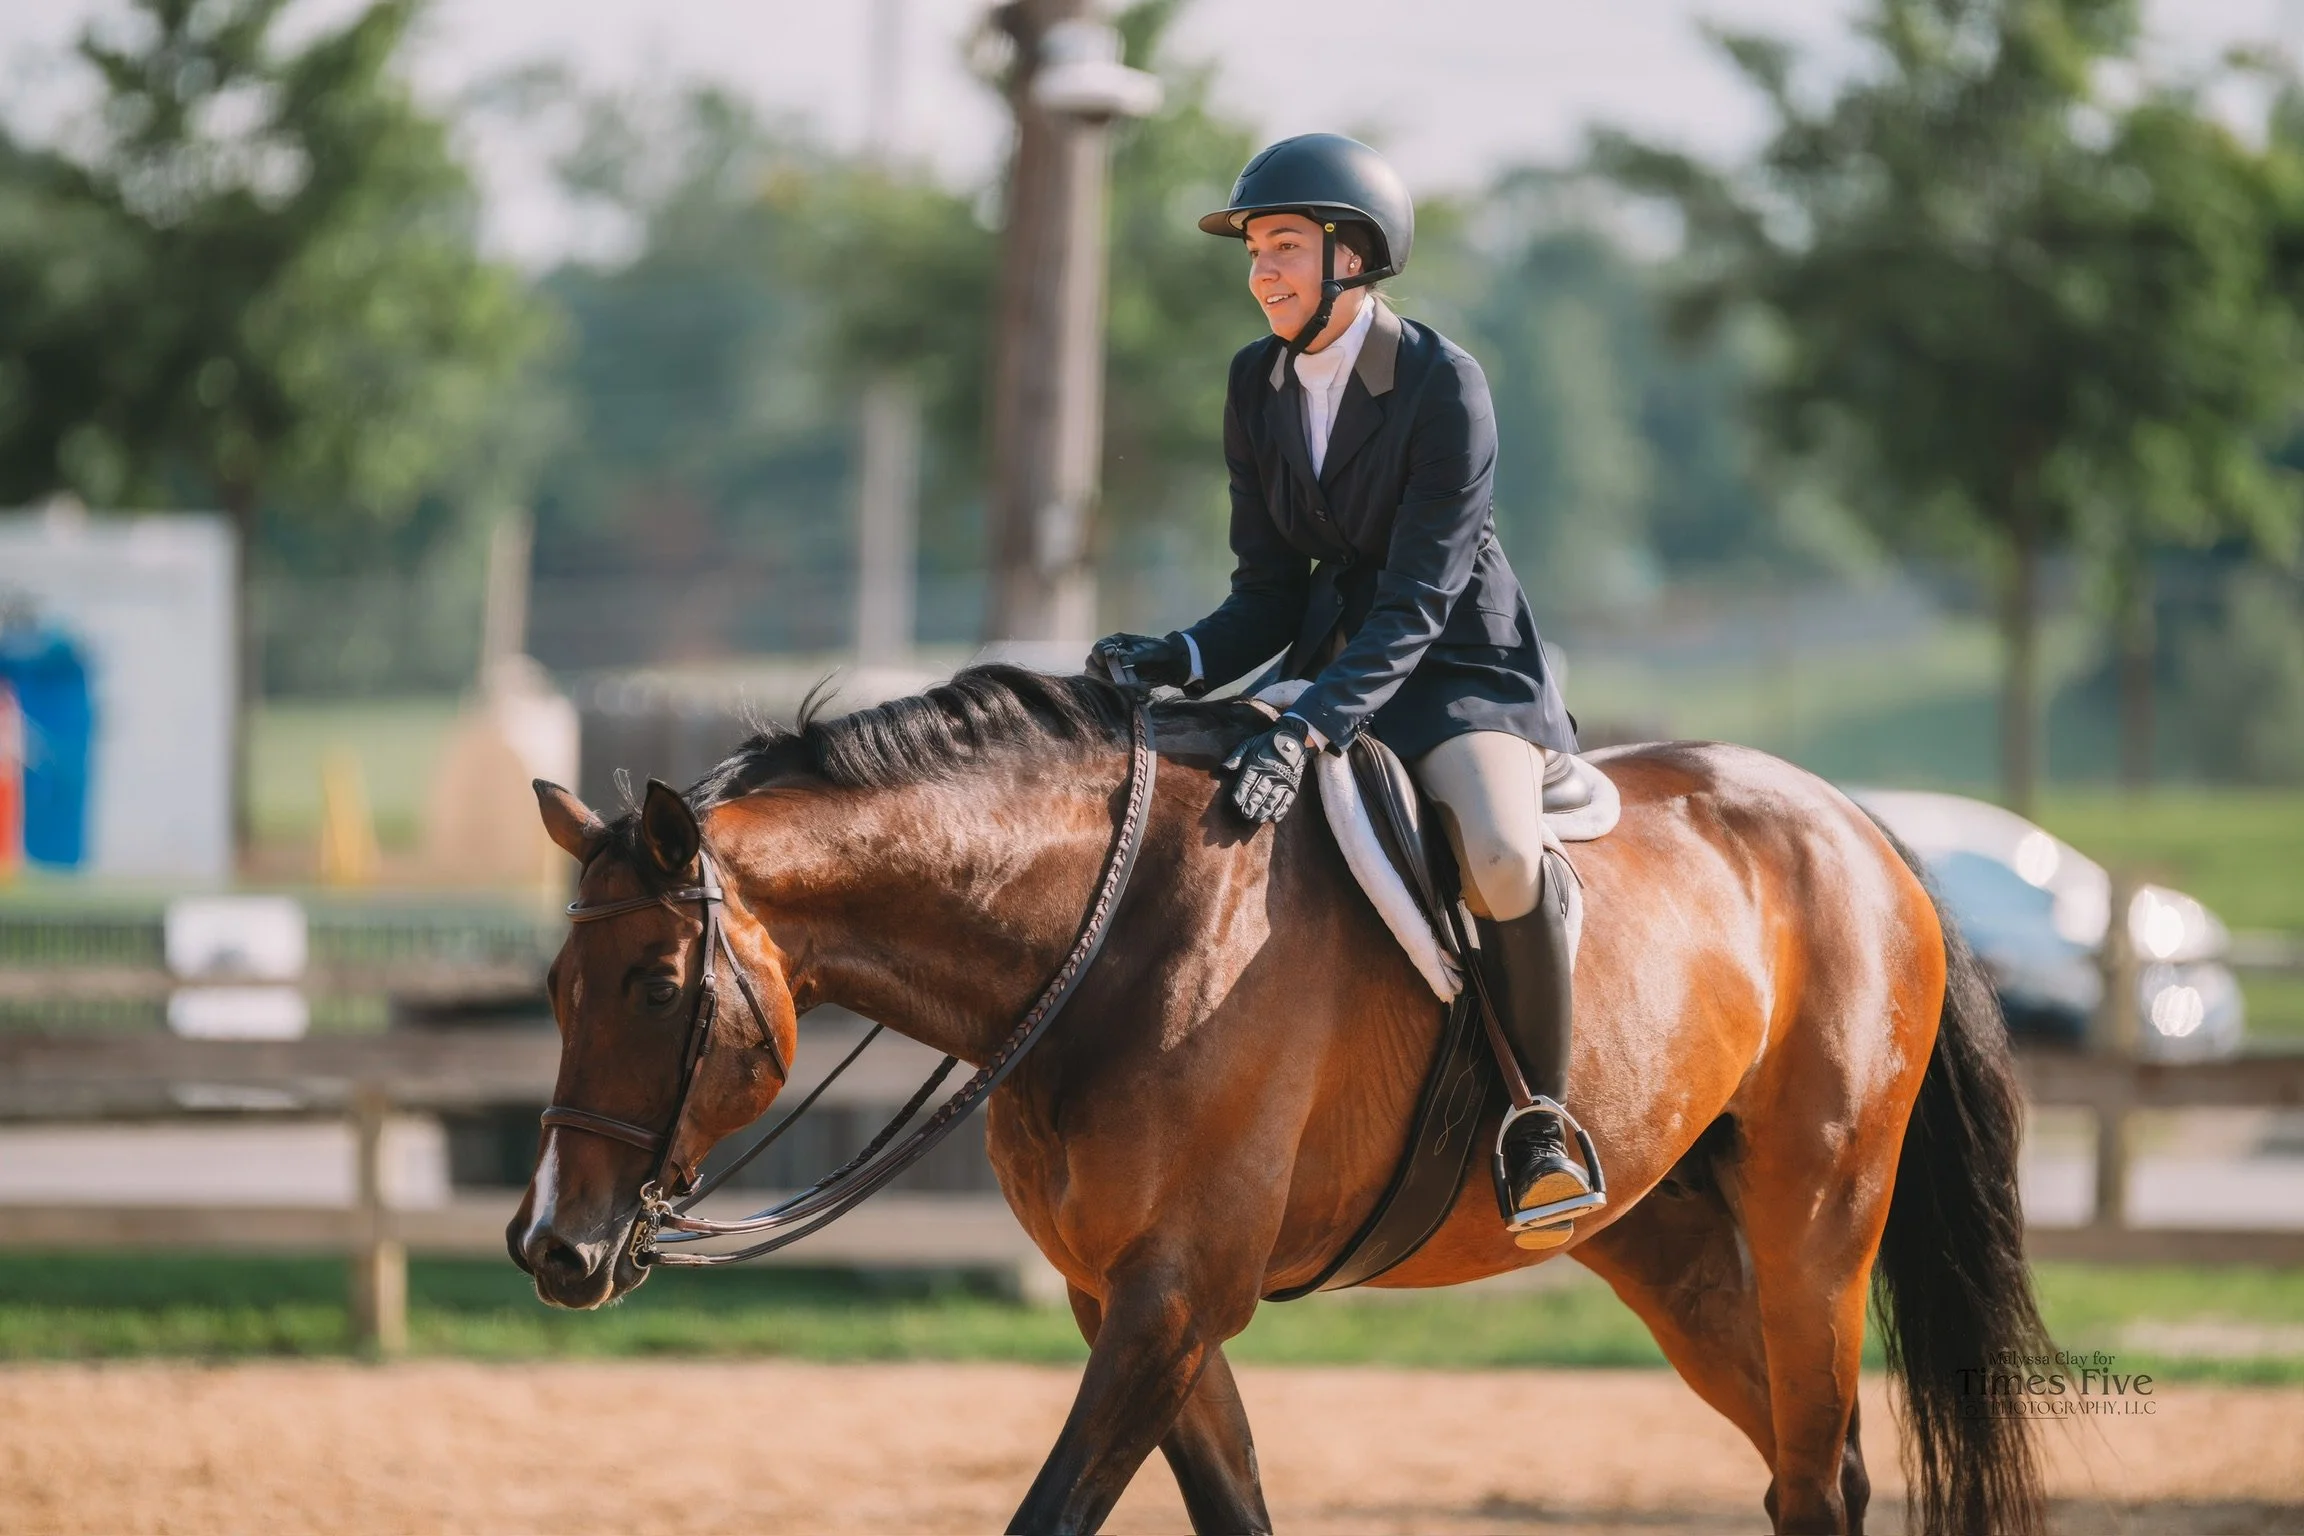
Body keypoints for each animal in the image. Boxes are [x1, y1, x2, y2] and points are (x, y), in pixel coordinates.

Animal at [507, 665, 2047, 1536]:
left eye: (658, 984)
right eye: (557, 984)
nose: (553, 1247)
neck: (1113, 938)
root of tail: (1859, 828)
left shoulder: (1176, 1297)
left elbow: (1050, 1515)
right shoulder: (1131, 1302)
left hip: (1814, 1225)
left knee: (1816, 1470)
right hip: (1669, 1246)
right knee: (1812, 1473)